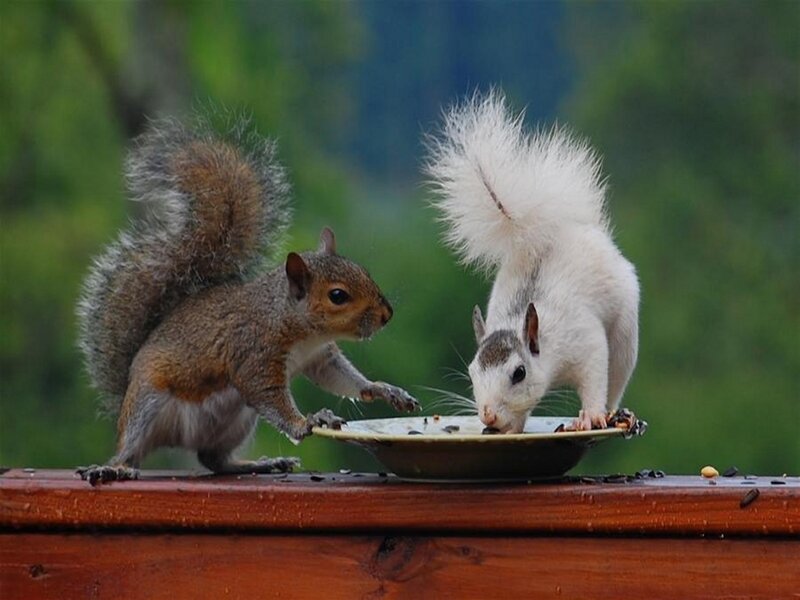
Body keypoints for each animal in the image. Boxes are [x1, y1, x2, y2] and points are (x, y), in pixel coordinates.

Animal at [76, 115, 418, 485]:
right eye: (338, 295)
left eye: (364, 272)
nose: (387, 314)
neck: (296, 326)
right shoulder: (253, 354)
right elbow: (267, 394)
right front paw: (308, 421)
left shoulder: (320, 358)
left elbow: (342, 379)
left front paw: (384, 390)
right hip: (147, 405)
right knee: (133, 450)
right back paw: (115, 467)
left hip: (236, 422)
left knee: (214, 459)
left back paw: (259, 463)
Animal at [425, 91, 639, 433]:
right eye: (472, 371)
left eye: (519, 373)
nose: (487, 415)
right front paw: (508, 430)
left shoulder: (586, 343)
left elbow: (595, 379)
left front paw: (590, 415)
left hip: (625, 335)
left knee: (616, 377)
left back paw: (613, 413)